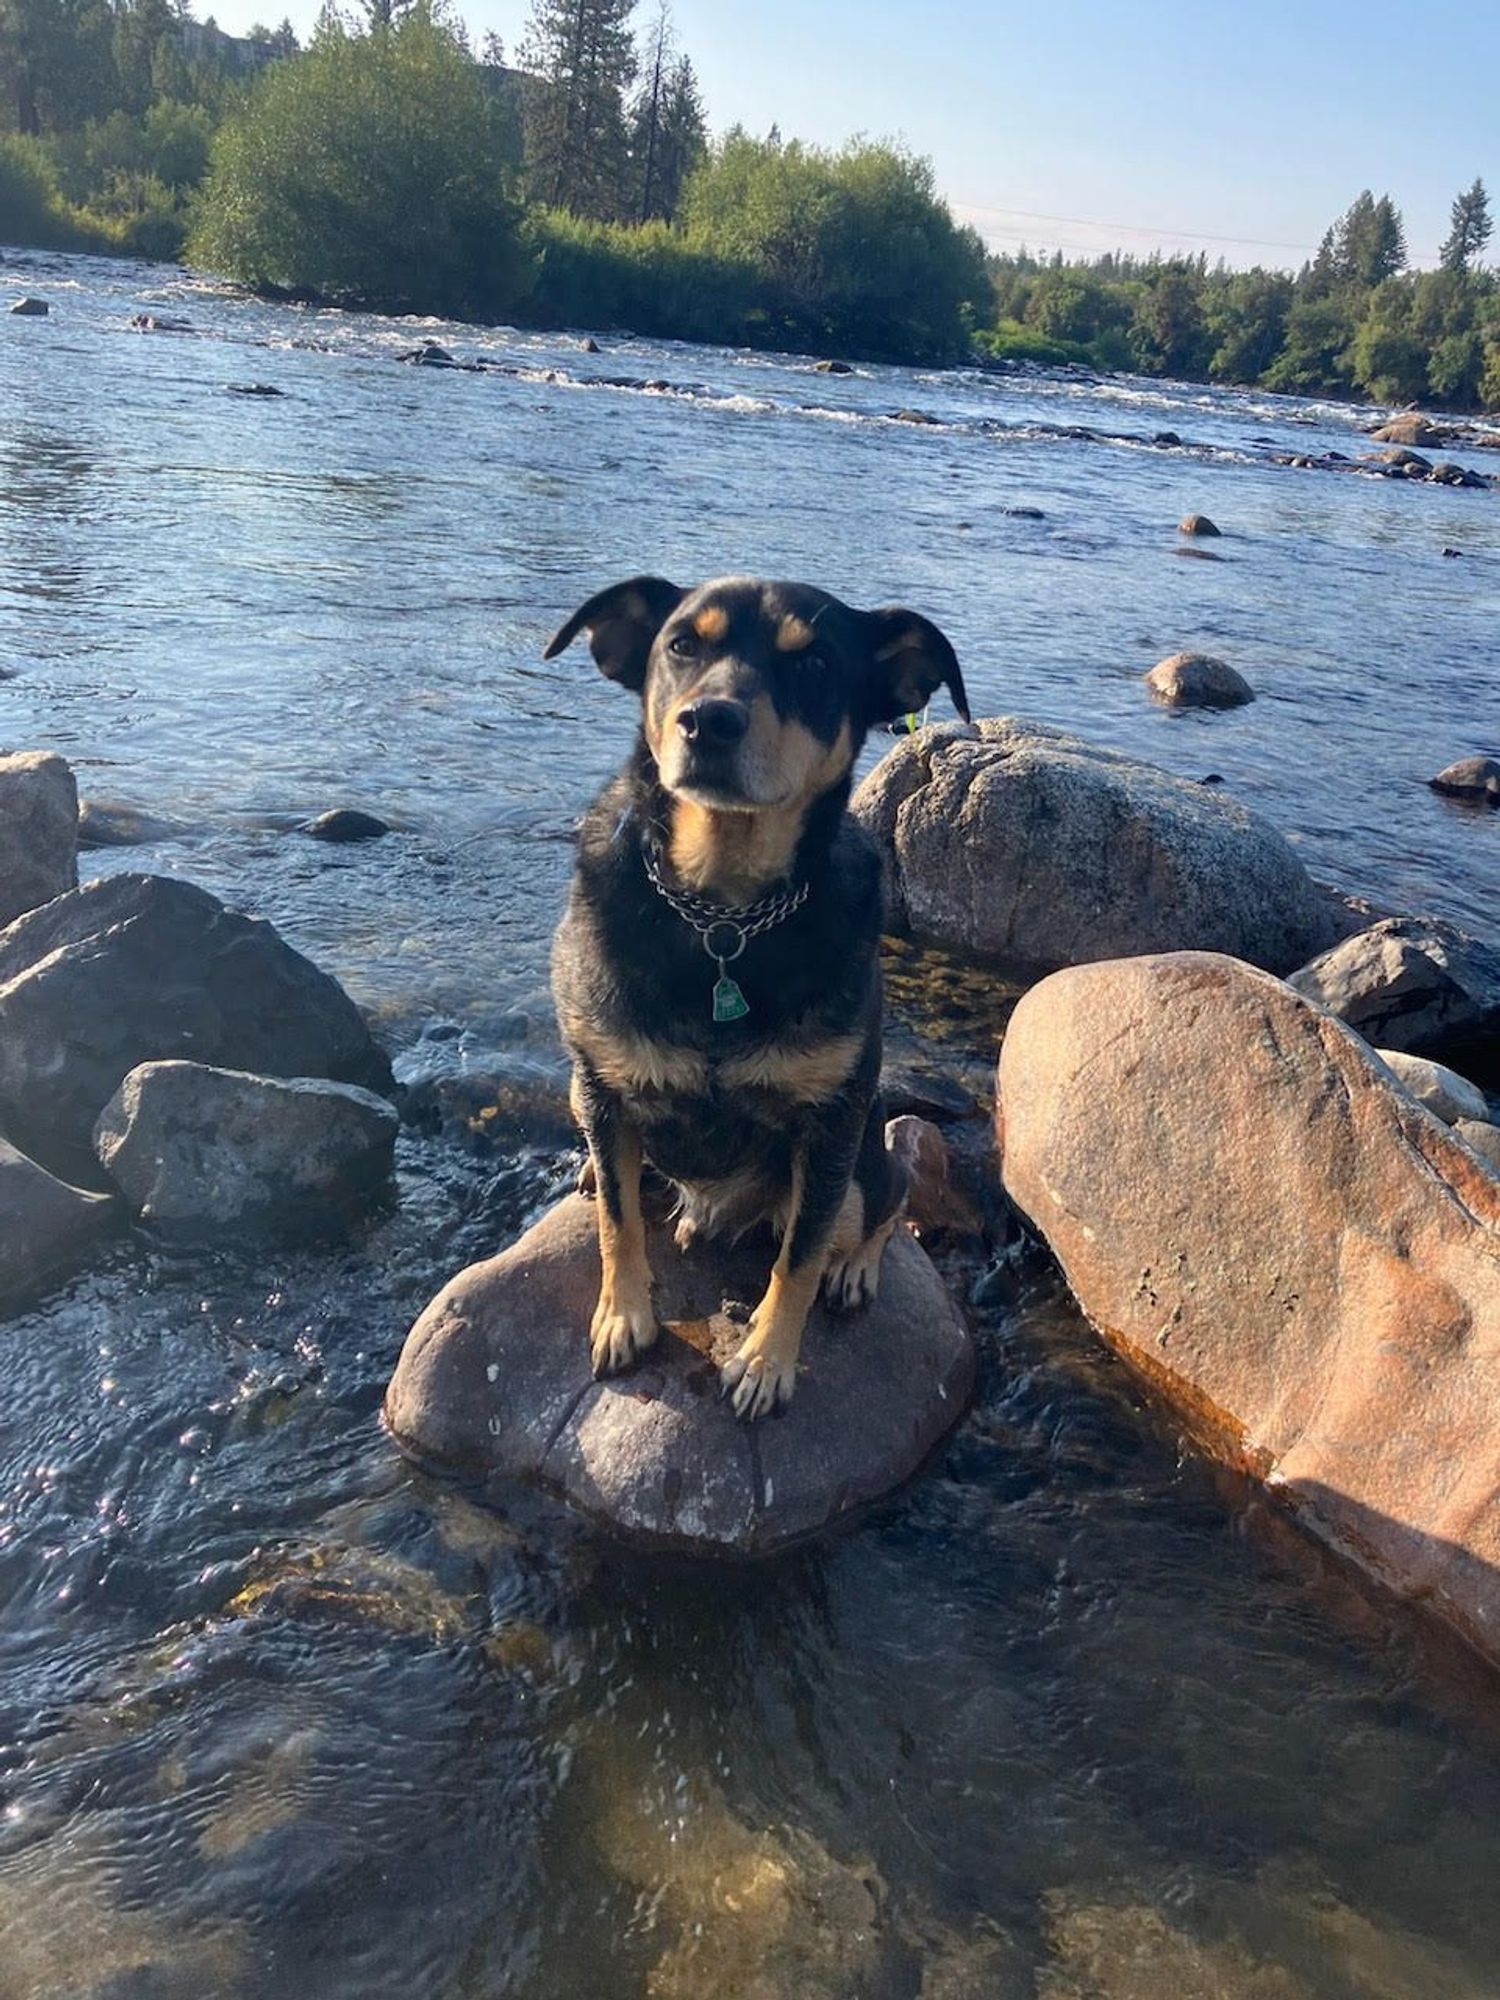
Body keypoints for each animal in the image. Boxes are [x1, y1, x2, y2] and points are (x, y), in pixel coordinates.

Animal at [548, 576, 968, 1424]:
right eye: (682, 644)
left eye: (813, 663)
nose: (708, 719)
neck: (722, 913)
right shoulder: (602, 1083)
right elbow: (616, 1222)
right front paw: (622, 1315)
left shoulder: (833, 1120)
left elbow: (799, 1255)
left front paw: (768, 1361)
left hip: (859, 1163)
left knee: (885, 1200)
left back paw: (857, 1268)